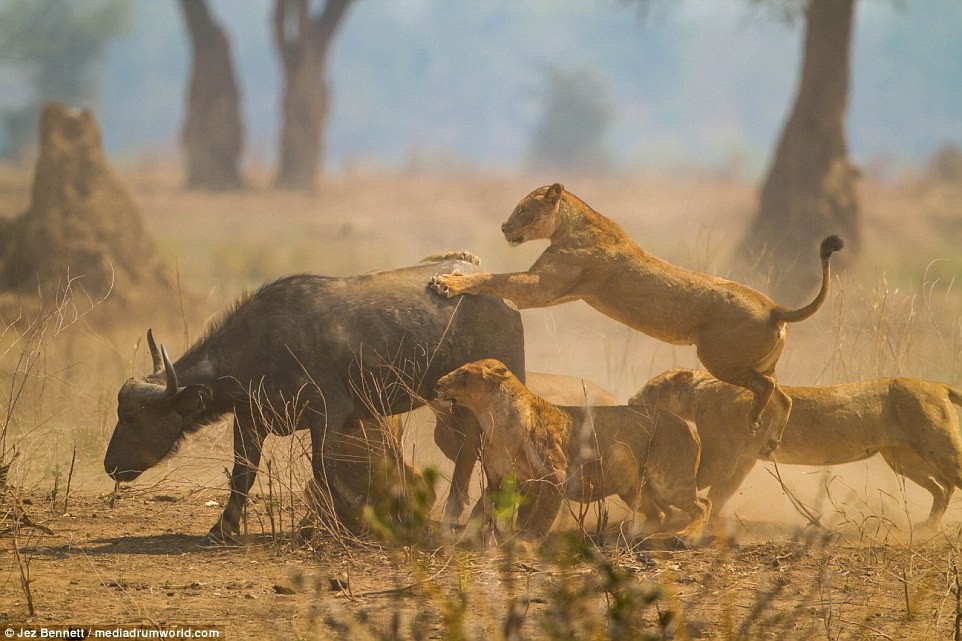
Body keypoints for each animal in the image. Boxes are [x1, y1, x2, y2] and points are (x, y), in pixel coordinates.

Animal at [103, 256, 524, 540]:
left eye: (134, 417)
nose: (110, 465)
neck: (262, 348)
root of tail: (504, 298)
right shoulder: (250, 418)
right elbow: (243, 474)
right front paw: (221, 528)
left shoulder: (328, 411)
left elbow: (323, 468)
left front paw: (359, 518)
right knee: (469, 453)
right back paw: (457, 519)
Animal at [428, 182, 840, 458]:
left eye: (524, 210)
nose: (503, 227)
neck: (572, 223)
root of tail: (774, 307)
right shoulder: (556, 290)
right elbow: (495, 276)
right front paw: (449, 259)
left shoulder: (540, 287)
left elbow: (494, 278)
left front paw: (449, 282)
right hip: (756, 362)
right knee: (783, 395)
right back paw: (771, 440)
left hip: (720, 359)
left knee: (766, 388)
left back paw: (754, 421)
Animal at [436, 358, 704, 544]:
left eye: (463, 373)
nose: (438, 383)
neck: (493, 418)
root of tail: (688, 425)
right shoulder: (500, 478)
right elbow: (482, 507)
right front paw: (463, 535)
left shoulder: (555, 475)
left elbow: (540, 515)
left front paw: (526, 542)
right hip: (631, 486)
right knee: (662, 513)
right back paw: (630, 534)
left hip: (669, 480)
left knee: (701, 504)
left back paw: (688, 536)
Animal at [632, 368, 960, 528]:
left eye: (651, 388)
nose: (632, 400)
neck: (700, 392)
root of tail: (938, 385)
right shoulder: (743, 459)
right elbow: (720, 493)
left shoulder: (721, 456)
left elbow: (694, 482)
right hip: (903, 458)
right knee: (941, 488)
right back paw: (927, 526)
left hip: (939, 448)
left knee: (948, 482)